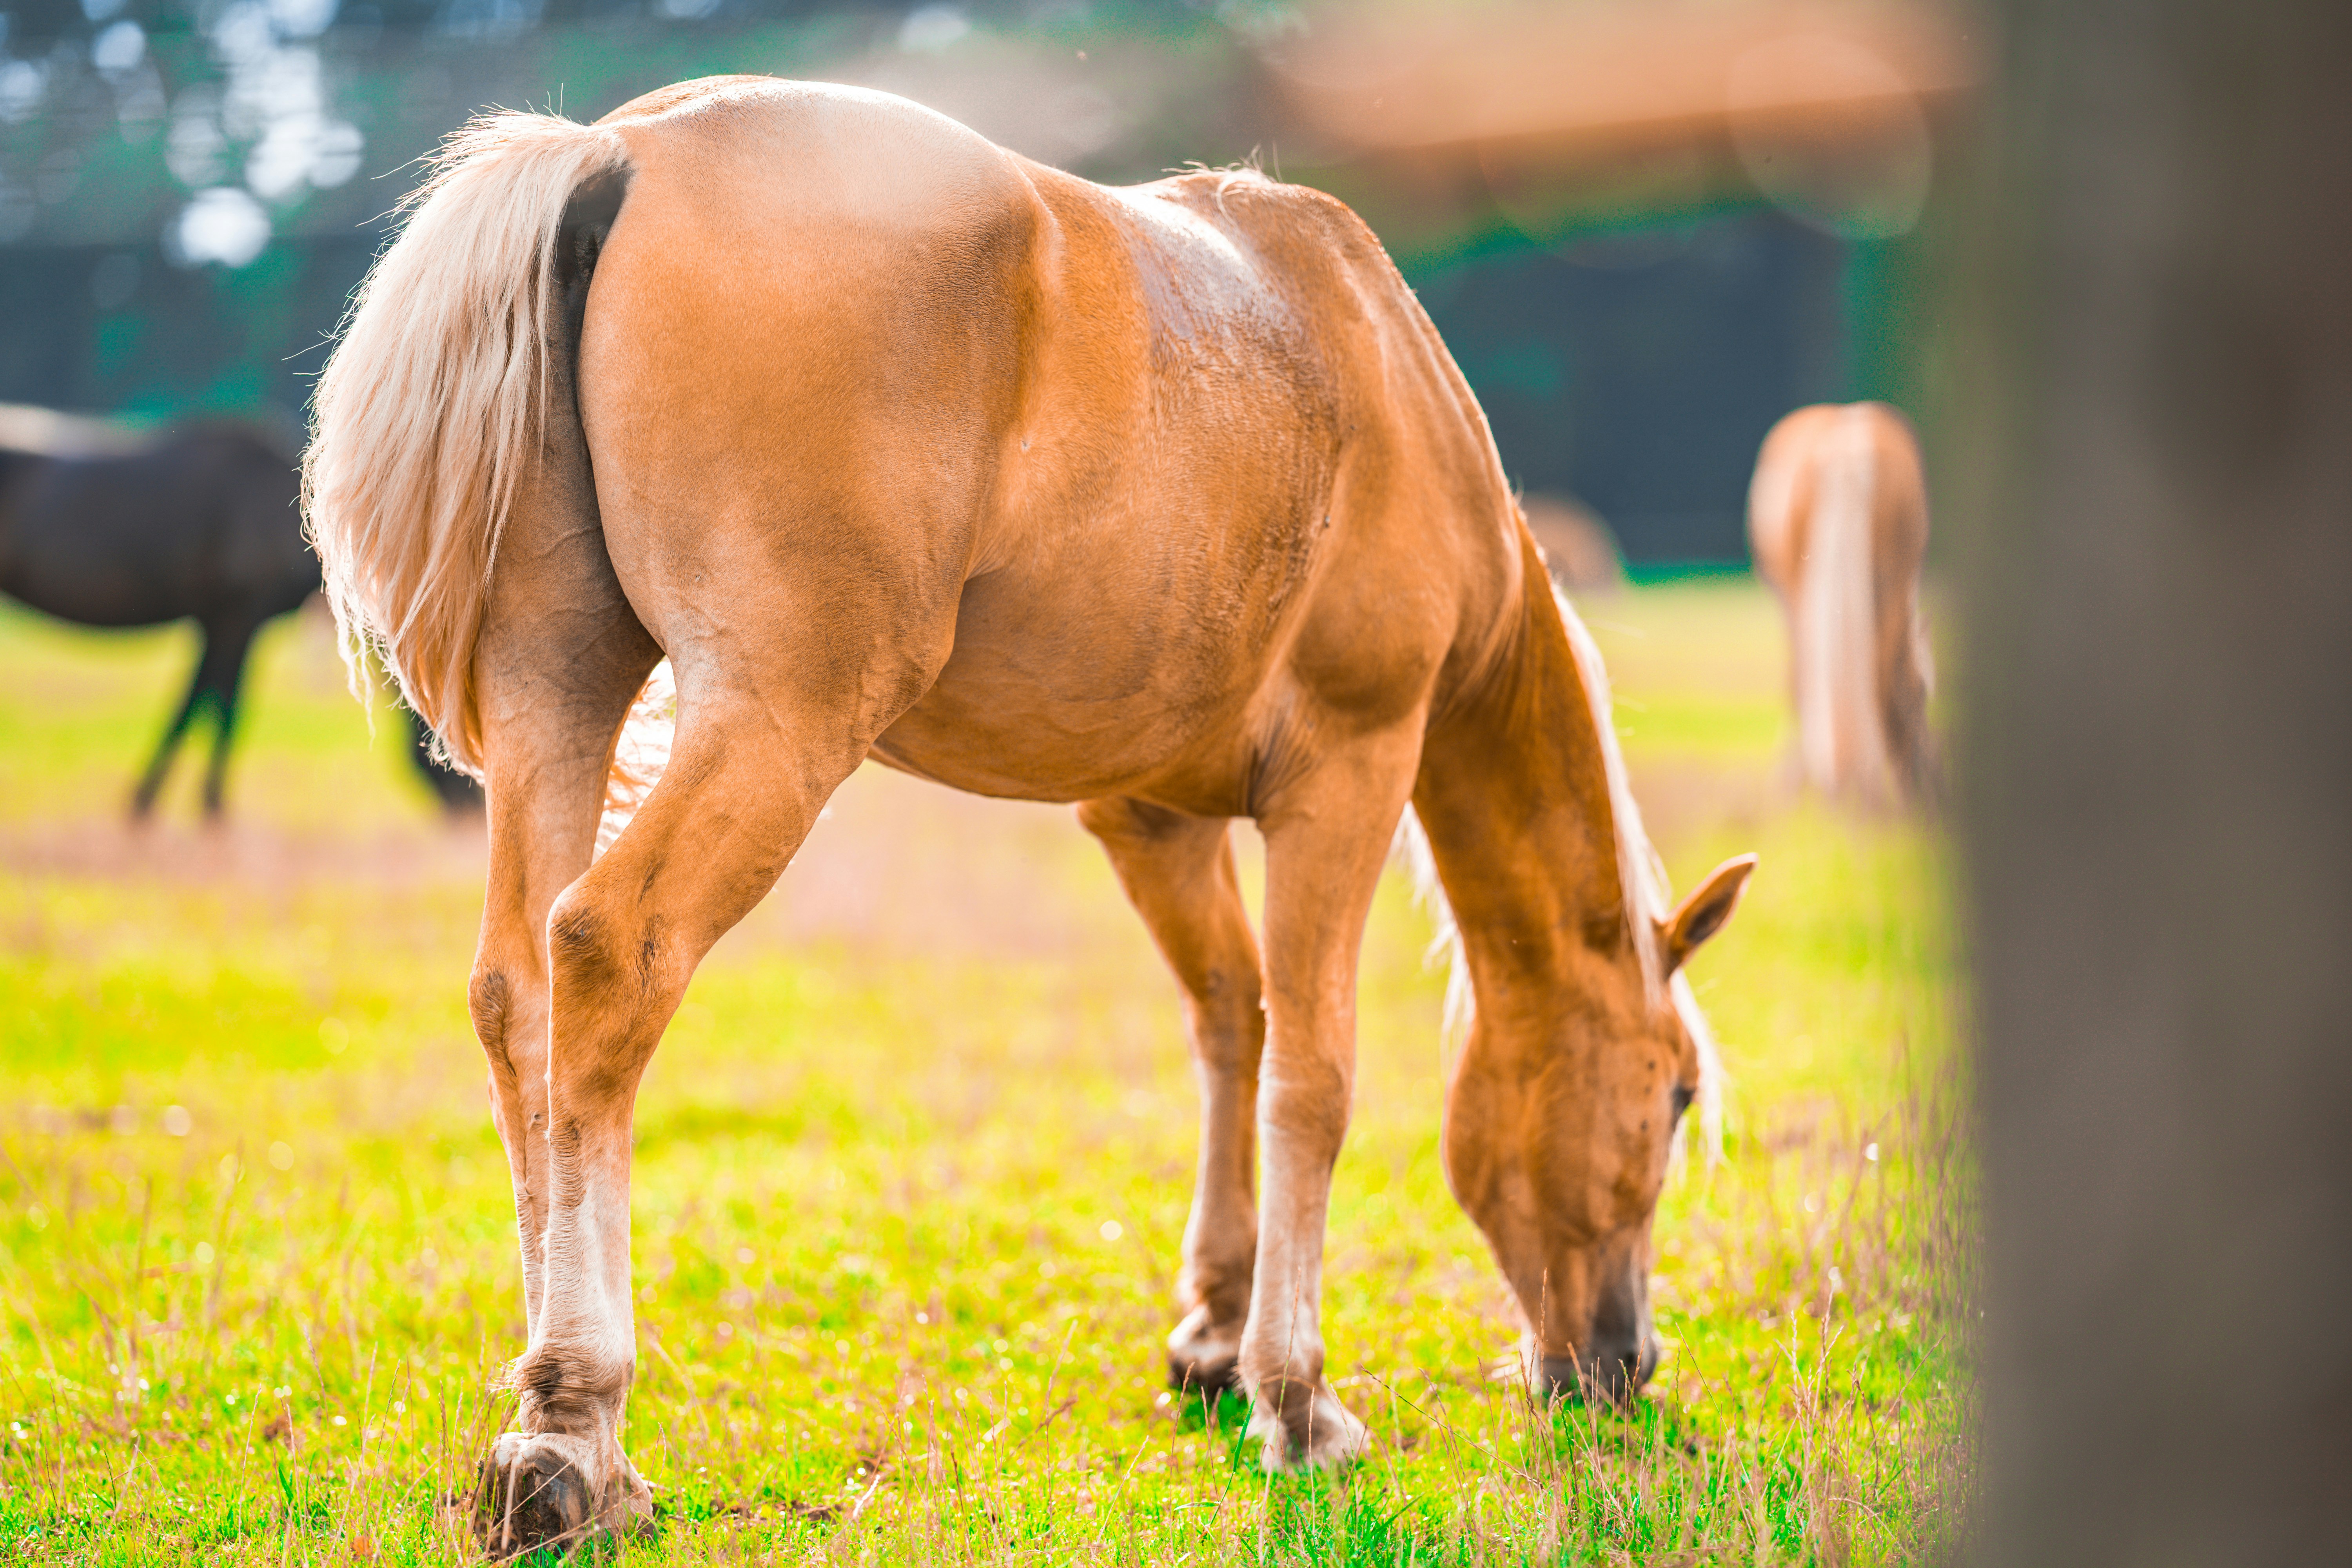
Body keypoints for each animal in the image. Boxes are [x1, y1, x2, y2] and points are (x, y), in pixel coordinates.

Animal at [0, 404, 481, 817]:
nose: (475, 807)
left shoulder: (215, 622)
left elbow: (195, 705)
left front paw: (153, 804)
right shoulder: (236, 618)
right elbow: (221, 709)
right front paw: (205, 807)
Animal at [304, 79, 1757, 1553]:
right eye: (1675, 1094)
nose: (1622, 1365)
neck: (1372, 369)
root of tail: (618, 150)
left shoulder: (1151, 817)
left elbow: (1233, 1025)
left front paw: (1215, 1335)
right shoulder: (1346, 773)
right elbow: (1313, 1077)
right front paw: (1297, 1397)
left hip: (558, 694)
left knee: (519, 997)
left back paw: (547, 1418)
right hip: (777, 720)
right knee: (607, 955)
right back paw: (574, 1432)